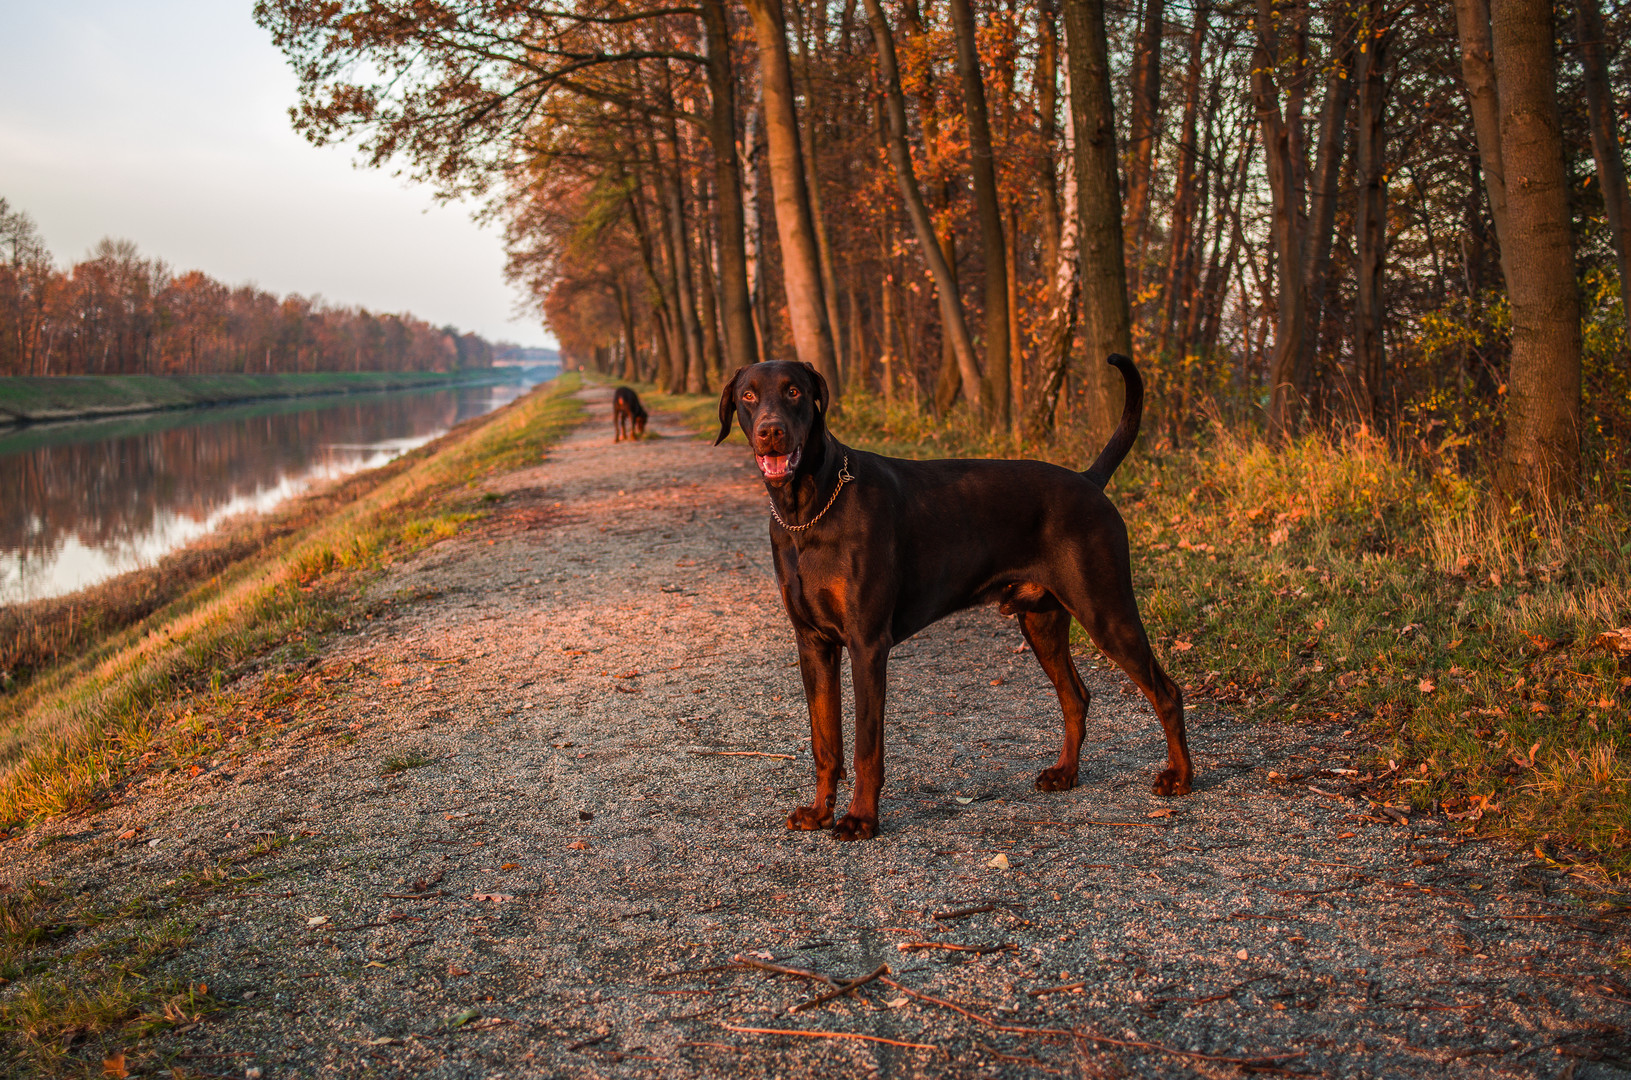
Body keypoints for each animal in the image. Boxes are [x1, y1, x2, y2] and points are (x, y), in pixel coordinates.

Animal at [720, 358, 1193, 841]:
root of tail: (1089, 480)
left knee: (1167, 692)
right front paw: (819, 813)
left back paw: (1180, 778)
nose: (771, 431)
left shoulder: (867, 645)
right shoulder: (813, 645)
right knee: (1075, 697)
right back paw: (1065, 773)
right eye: (749, 396)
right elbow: (825, 742)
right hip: (1040, 622)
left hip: (1105, 611)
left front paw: (861, 819)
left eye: (794, 391)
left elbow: (866, 747)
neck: (808, 512)